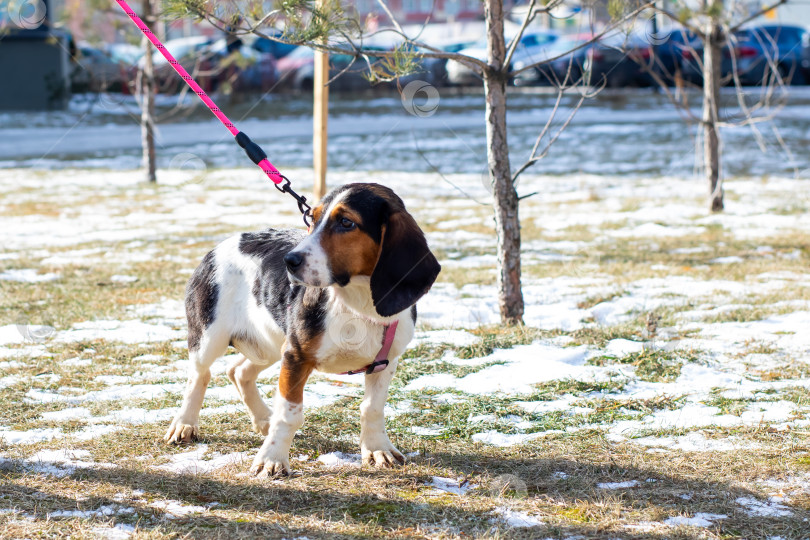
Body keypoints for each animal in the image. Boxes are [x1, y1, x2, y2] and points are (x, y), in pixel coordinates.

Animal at [166, 182, 442, 476]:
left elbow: (372, 408)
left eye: (346, 222)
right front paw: (272, 459)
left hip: (270, 344)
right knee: (199, 376)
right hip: (211, 337)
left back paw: (263, 420)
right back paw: (184, 424)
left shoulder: (386, 362)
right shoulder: (296, 357)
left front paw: (378, 449)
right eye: (312, 218)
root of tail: (217, 248)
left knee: (238, 371)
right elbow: (290, 415)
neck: (356, 303)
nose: (289, 261)